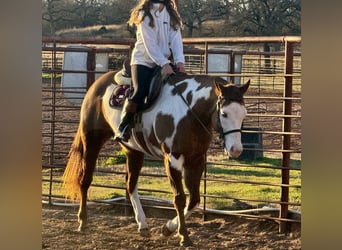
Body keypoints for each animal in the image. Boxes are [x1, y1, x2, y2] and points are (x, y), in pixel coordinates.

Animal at [62, 70, 248, 246]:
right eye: (224, 113)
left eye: (243, 114)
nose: (236, 149)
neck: (189, 112)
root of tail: (98, 83)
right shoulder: (172, 159)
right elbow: (179, 198)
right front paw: (184, 236)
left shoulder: (196, 160)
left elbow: (194, 199)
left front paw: (168, 228)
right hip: (91, 139)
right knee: (85, 179)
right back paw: (83, 222)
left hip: (133, 150)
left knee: (130, 184)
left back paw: (142, 224)